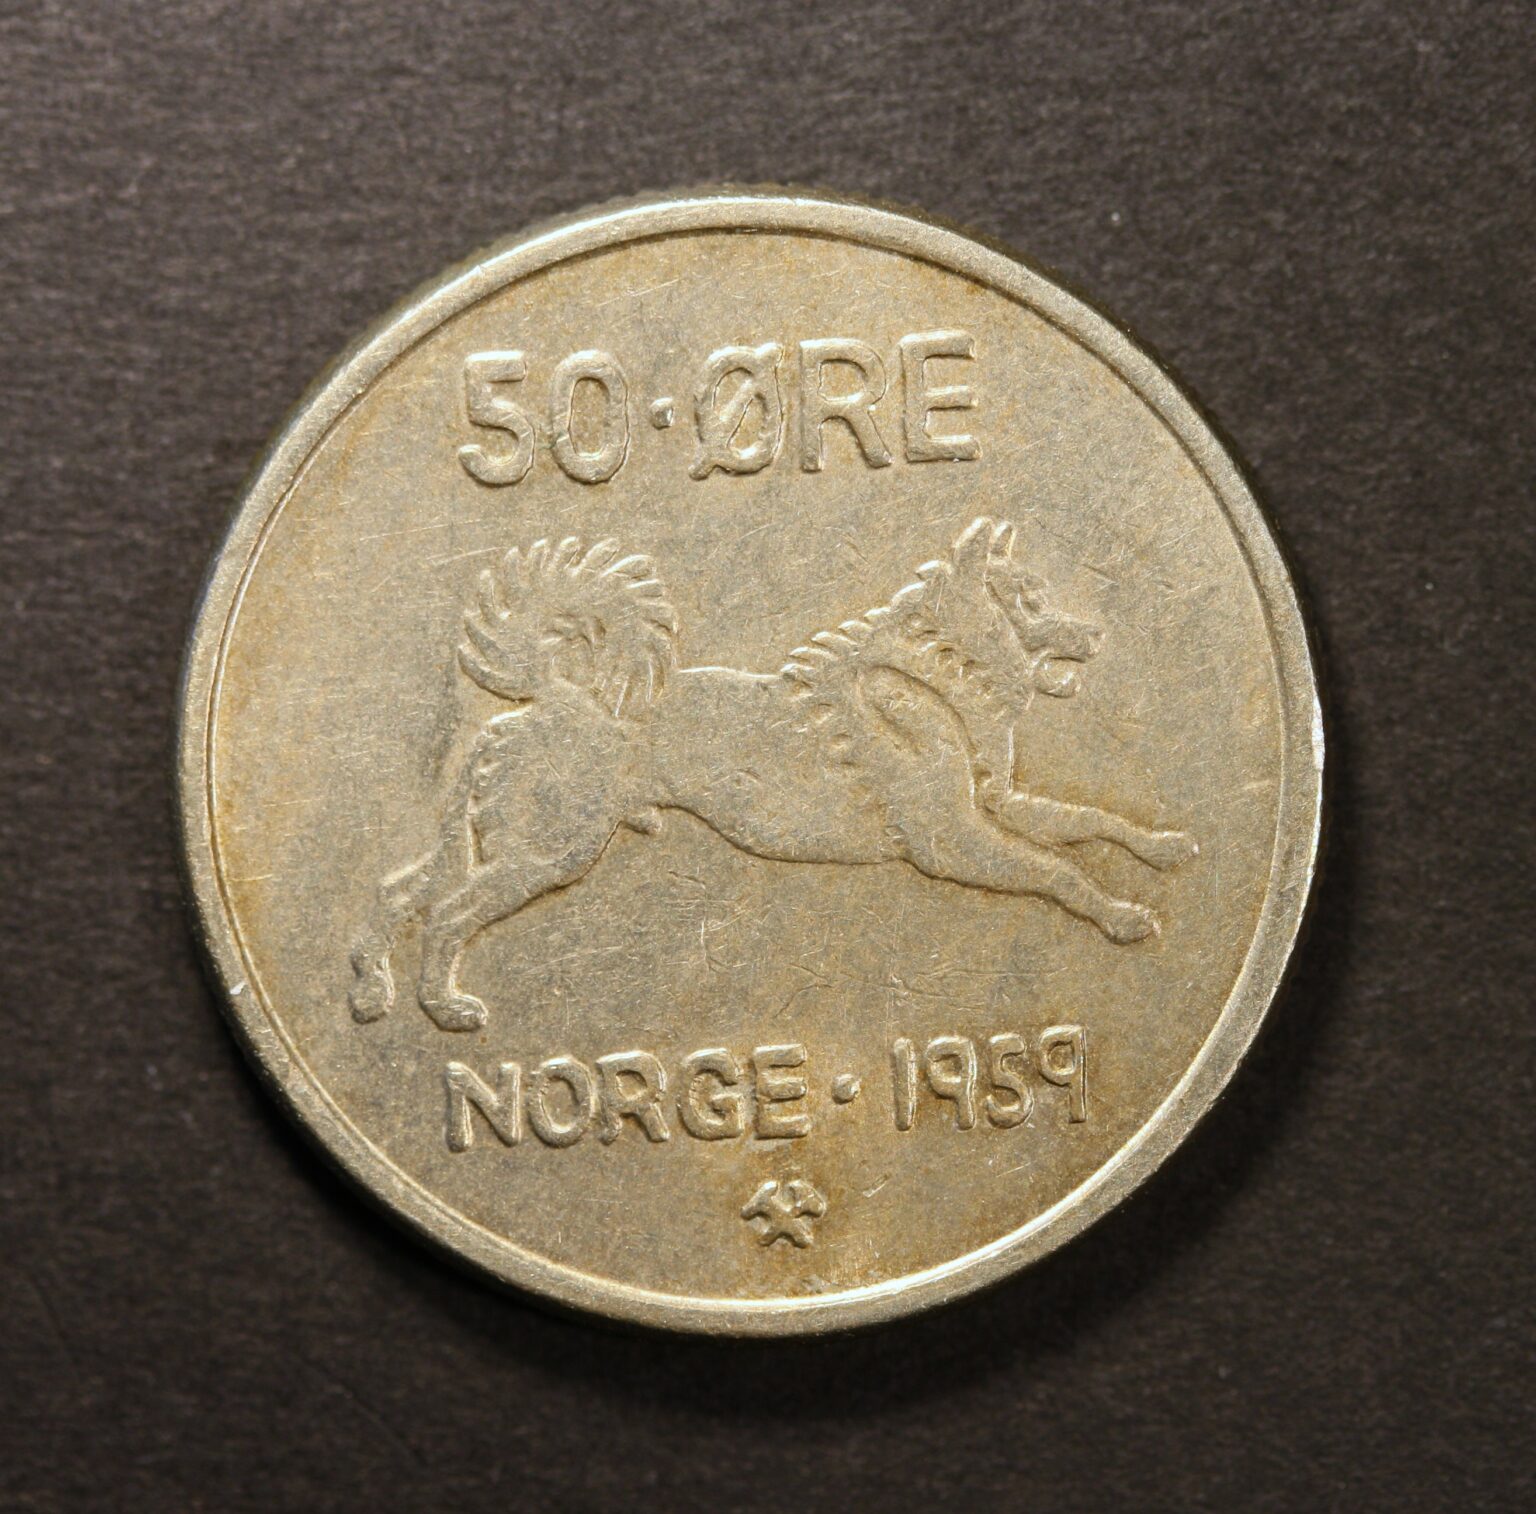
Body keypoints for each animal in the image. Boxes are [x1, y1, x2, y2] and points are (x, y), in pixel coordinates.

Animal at [349, 518, 1196, 1031]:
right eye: (1032, 599)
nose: (1094, 633)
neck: (938, 674)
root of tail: (544, 697)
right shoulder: (950, 843)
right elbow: (1059, 871)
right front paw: (1123, 917)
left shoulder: (1000, 800)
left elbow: (1092, 822)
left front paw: (1162, 850)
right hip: (548, 852)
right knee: (447, 914)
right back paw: (446, 1009)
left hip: (498, 844)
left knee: (398, 893)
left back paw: (369, 993)